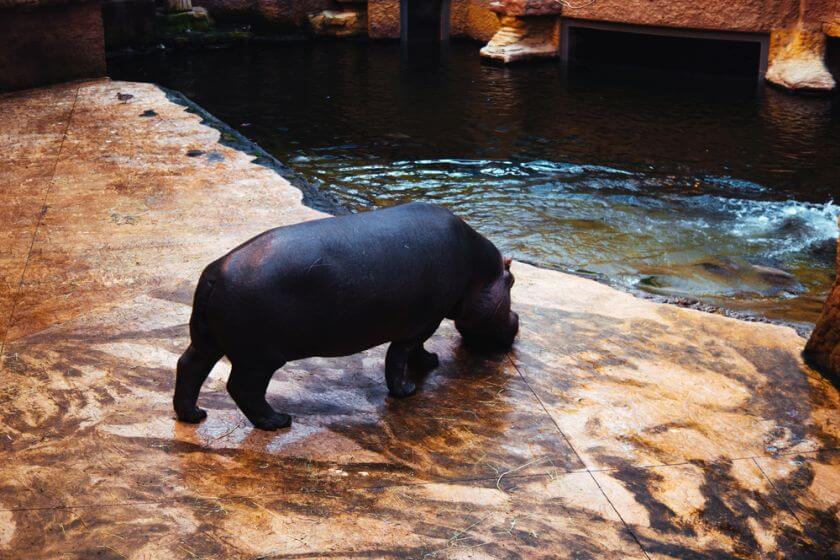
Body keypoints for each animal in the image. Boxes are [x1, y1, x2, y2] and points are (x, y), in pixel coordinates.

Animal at [174, 203, 520, 430]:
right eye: (513, 282)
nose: (517, 322)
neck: (479, 273)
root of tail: (215, 271)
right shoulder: (419, 325)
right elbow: (399, 358)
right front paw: (408, 389)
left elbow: (413, 352)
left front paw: (430, 362)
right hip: (258, 358)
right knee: (243, 388)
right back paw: (278, 422)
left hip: (206, 340)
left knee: (189, 367)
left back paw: (194, 415)